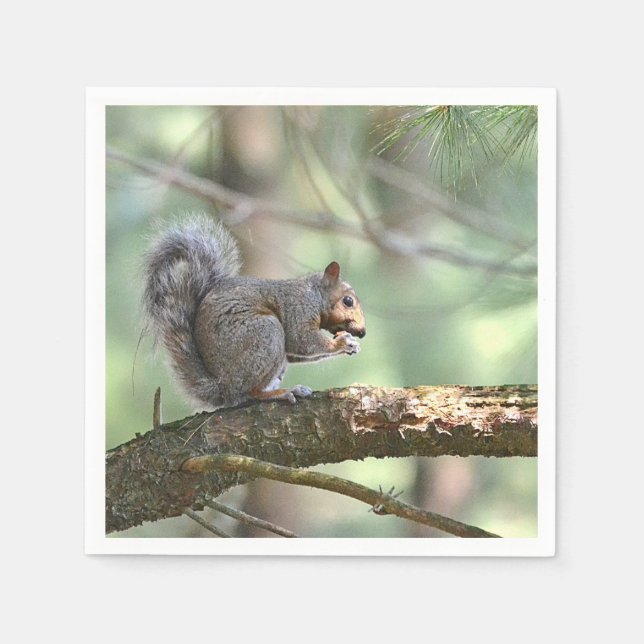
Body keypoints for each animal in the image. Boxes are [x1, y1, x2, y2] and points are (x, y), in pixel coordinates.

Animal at [142, 214, 366, 410]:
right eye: (348, 301)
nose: (362, 332)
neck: (315, 294)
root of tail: (224, 387)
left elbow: (295, 352)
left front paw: (351, 345)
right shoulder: (298, 308)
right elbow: (301, 340)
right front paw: (342, 343)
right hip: (266, 334)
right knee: (250, 393)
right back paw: (281, 393)